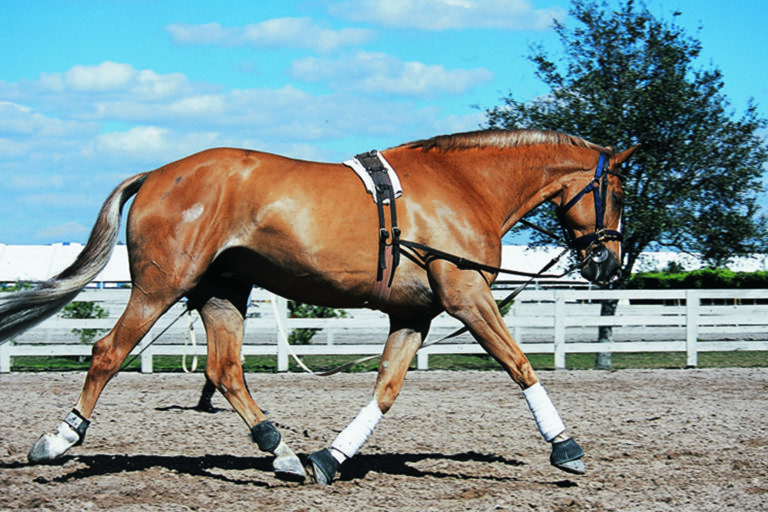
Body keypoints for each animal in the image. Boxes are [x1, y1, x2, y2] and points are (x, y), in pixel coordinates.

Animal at [0, 129, 637, 484]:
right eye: (618, 192)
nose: (608, 264)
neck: (465, 186)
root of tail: (157, 173)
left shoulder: (415, 314)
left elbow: (386, 388)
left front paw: (330, 458)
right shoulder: (468, 296)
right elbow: (519, 364)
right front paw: (565, 447)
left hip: (221, 292)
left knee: (224, 370)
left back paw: (279, 452)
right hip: (162, 287)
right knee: (108, 351)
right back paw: (57, 441)